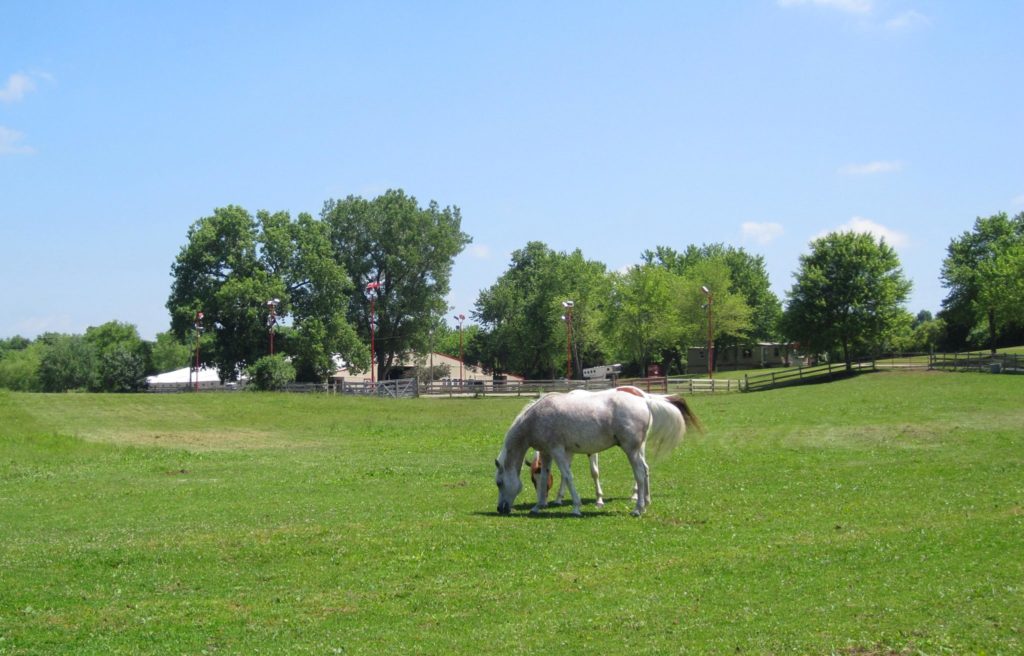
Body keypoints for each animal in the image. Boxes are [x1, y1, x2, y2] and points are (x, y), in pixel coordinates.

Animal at [491, 386, 700, 513]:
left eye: (499, 483)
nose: (500, 508)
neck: (536, 417)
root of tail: (644, 400)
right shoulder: (547, 452)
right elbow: (546, 477)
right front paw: (538, 505)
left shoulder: (558, 450)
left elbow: (567, 476)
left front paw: (576, 507)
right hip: (638, 449)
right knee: (646, 470)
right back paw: (646, 503)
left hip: (631, 450)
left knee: (640, 473)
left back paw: (637, 509)